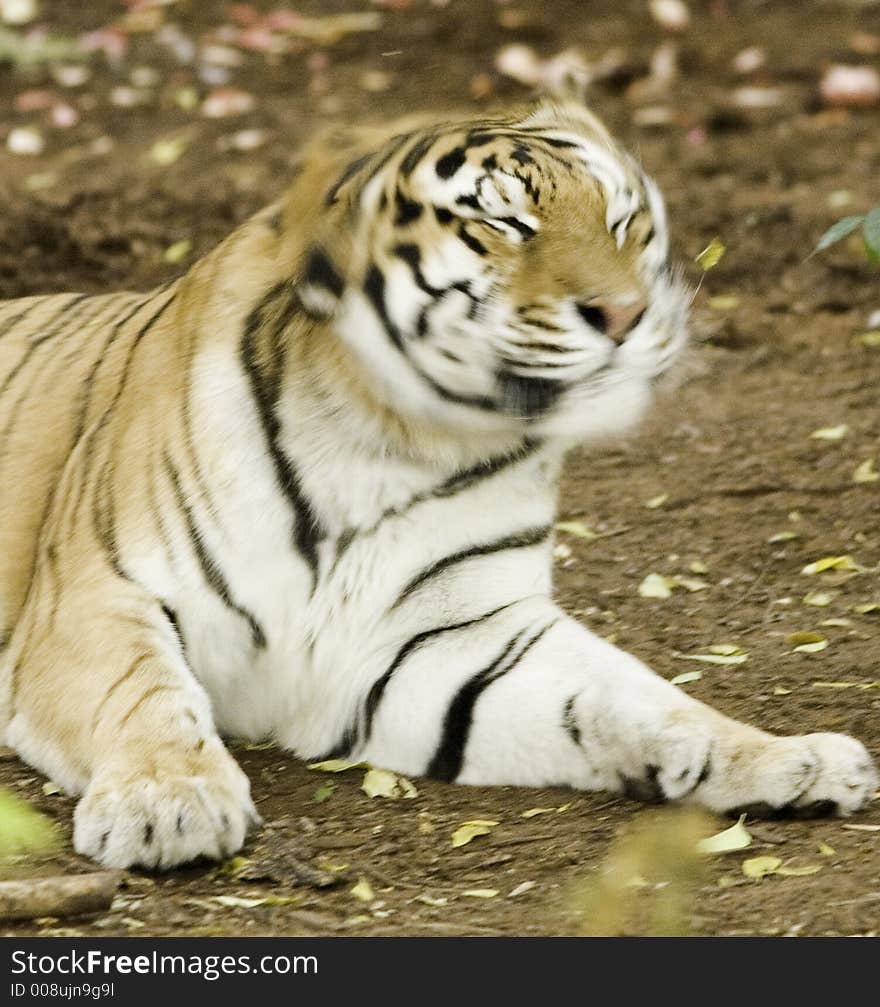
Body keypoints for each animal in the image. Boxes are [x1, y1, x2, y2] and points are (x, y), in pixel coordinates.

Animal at [0, 102, 869, 870]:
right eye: (508, 224)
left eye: (625, 224)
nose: (627, 314)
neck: (393, 435)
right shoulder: (93, 596)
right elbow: (145, 695)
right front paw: (168, 801)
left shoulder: (453, 639)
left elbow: (638, 696)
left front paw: (792, 759)